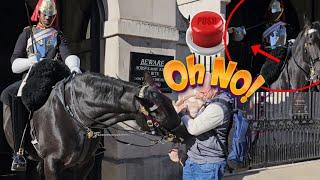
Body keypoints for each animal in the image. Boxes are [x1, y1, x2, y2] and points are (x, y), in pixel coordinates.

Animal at [2, 60, 181, 179]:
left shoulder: (84, 164)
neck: (75, 116)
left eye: (169, 102)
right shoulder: (52, 163)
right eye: (159, 113)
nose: (184, 134)